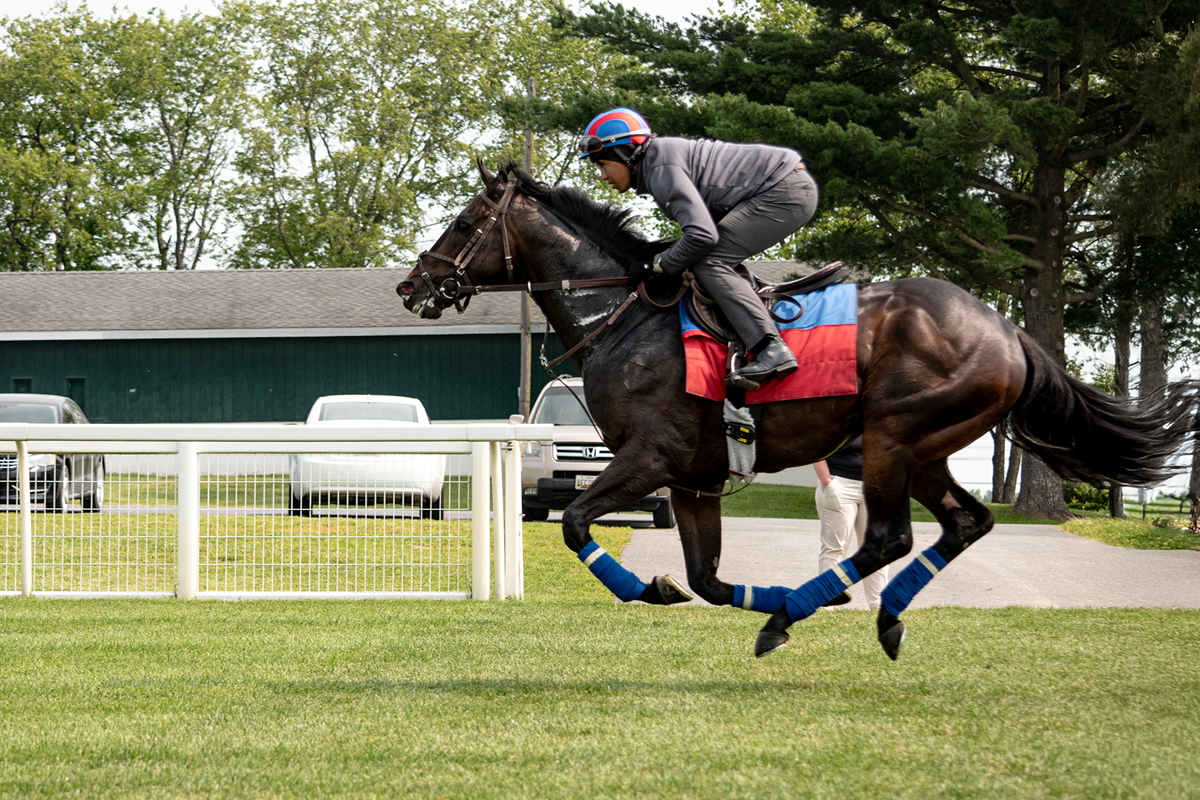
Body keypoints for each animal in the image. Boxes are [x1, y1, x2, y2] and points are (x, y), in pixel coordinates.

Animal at [398, 161, 1196, 660]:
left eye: (463, 222)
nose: (412, 287)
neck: (625, 315)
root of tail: (1008, 330)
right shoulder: (695, 479)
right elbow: (707, 580)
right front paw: (701, 590)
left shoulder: (650, 456)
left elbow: (573, 523)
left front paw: (652, 588)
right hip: (927, 447)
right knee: (966, 522)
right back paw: (873, 615)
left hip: (892, 439)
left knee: (888, 539)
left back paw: (805, 611)